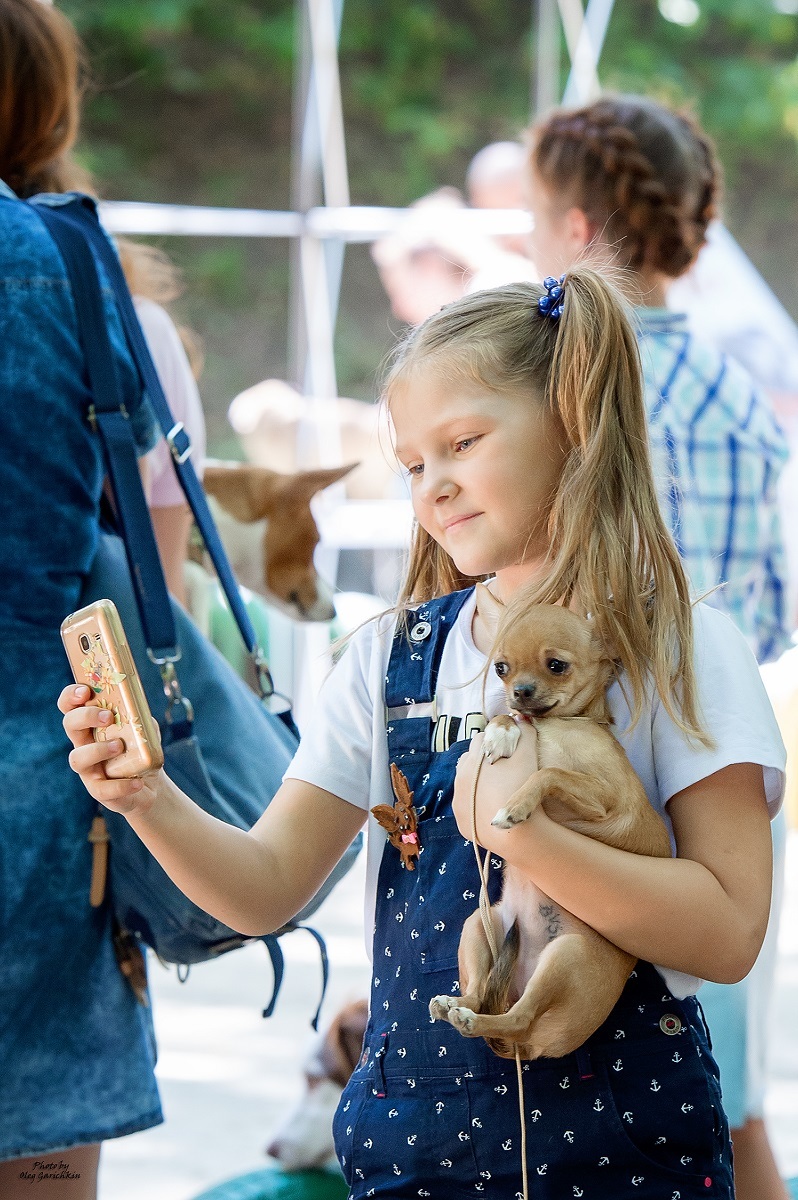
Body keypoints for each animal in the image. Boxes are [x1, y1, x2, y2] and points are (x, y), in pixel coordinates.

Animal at [427, 585, 667, 1065]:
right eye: (501, 668)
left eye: (556, 665)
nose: (519, 691)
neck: (559, 724)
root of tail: (537, 1047)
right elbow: (516, 727)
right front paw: (501, 731)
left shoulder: (604, 800)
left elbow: (549, 772)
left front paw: (514, 806)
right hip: (481, 924)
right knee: (480, 995)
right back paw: (452, 1006)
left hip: (564, 958)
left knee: (515, 1016)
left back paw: (476, 1020)